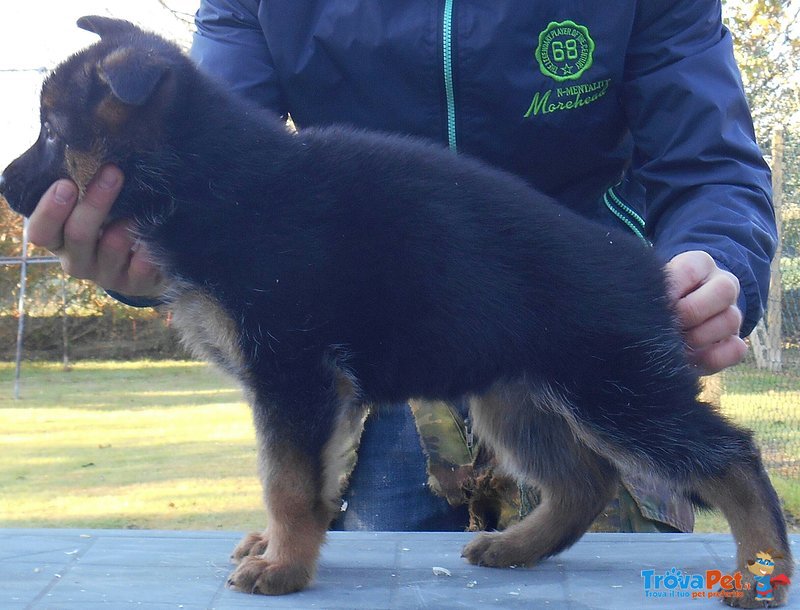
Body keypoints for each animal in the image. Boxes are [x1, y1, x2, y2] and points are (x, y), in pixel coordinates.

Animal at [0, 16, 788, 600]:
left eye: (50, 132)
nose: (6, 185)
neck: (210, 174)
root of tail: (646, 269)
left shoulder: (294, 375)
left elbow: (287, 481)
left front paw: (283, 566)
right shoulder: (305, 389)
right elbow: (304, 480)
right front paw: (283, 548)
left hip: (618, 391)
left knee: (729, 455)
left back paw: (762, 571)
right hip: (517, 396)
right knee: (583, 482)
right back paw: (517, 546)